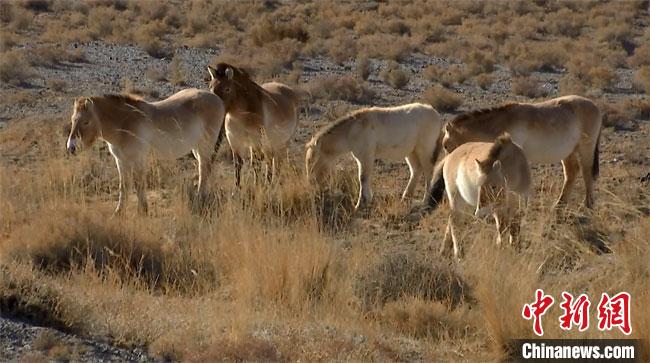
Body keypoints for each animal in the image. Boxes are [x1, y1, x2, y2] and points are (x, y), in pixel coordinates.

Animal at [65, 89, 224, 215]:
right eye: (72, 120)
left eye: (86, 122)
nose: (71, 148)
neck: (124, 123)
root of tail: (217, 99)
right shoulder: (121, 161)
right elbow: (124, 186)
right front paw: (119, 212)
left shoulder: (138, 159)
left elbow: (139, 184)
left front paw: (143, 210)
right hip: (197, 148)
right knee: (205, 169)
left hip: (205, 146)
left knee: (204, 170)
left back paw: (199, 199)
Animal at [442, 95, 600, 209]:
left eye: (445, 146)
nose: (448, 167)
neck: (502, 123)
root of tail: (595, 106)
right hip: (568, 152)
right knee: (572, 172)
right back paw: (559, 204)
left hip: (586, 148)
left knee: (586, 172)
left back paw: (588, 204)